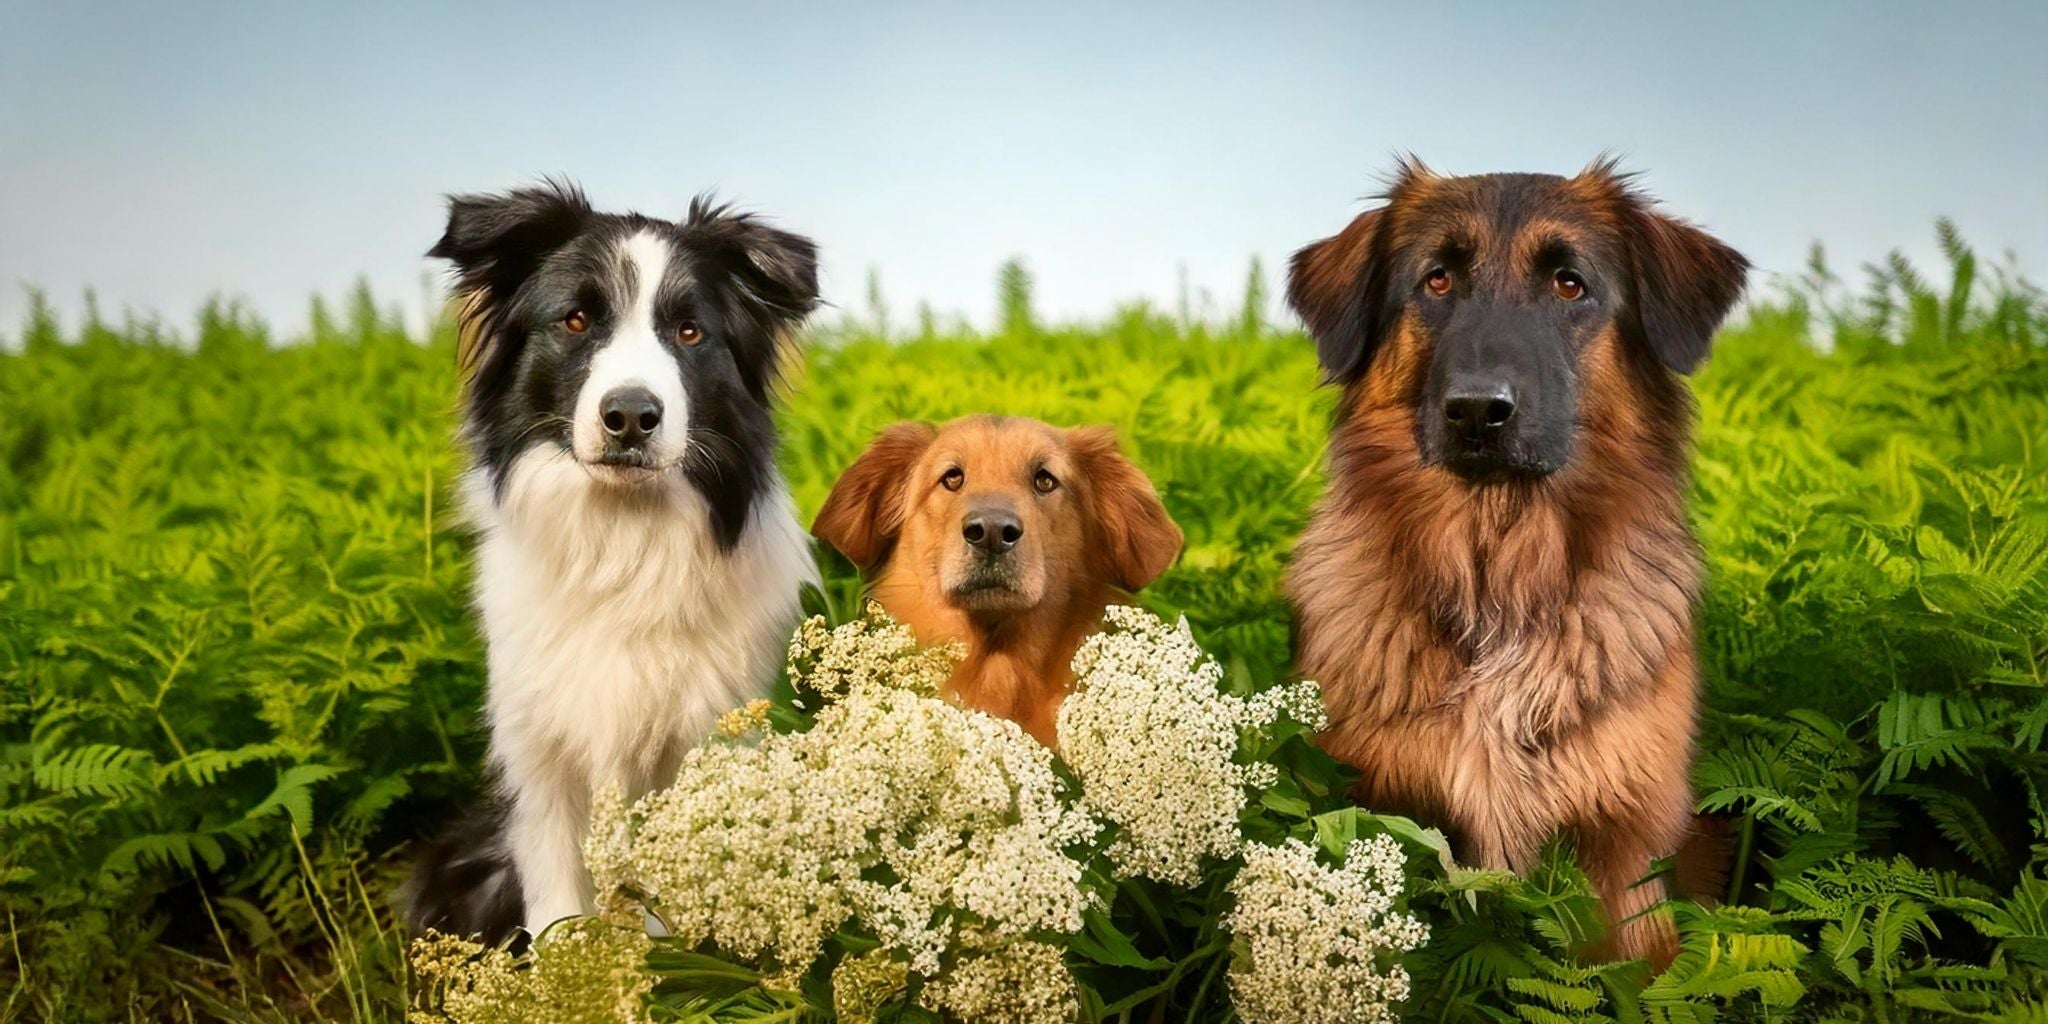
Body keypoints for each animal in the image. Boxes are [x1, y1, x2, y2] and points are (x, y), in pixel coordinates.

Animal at [403, 184, 819, 942]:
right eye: (574, 320)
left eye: (690, 332)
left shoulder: (712, 741)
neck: (623, 546)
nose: (631, 415)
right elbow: (559, 914)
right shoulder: (540, 766)